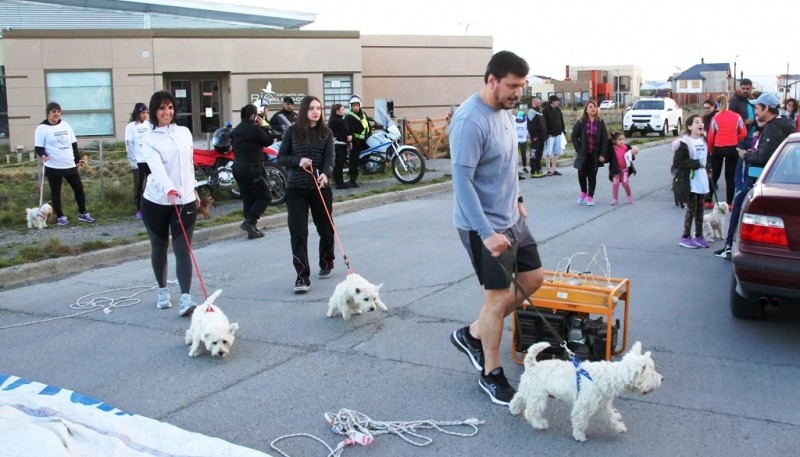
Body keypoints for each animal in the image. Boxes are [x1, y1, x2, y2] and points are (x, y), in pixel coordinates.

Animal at [512, 340, 664, 440]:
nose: (662, 379)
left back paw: (514, 409)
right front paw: (579, 435)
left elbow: (612, 417)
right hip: (538, 397)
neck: (612, 376)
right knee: (530, 412)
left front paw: (619, 427)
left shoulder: (603, 405)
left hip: (528, 389)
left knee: (517, 398)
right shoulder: (583, 406)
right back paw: (540, 424)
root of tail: (532, 364)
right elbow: (580, 421)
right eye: (652, 372)